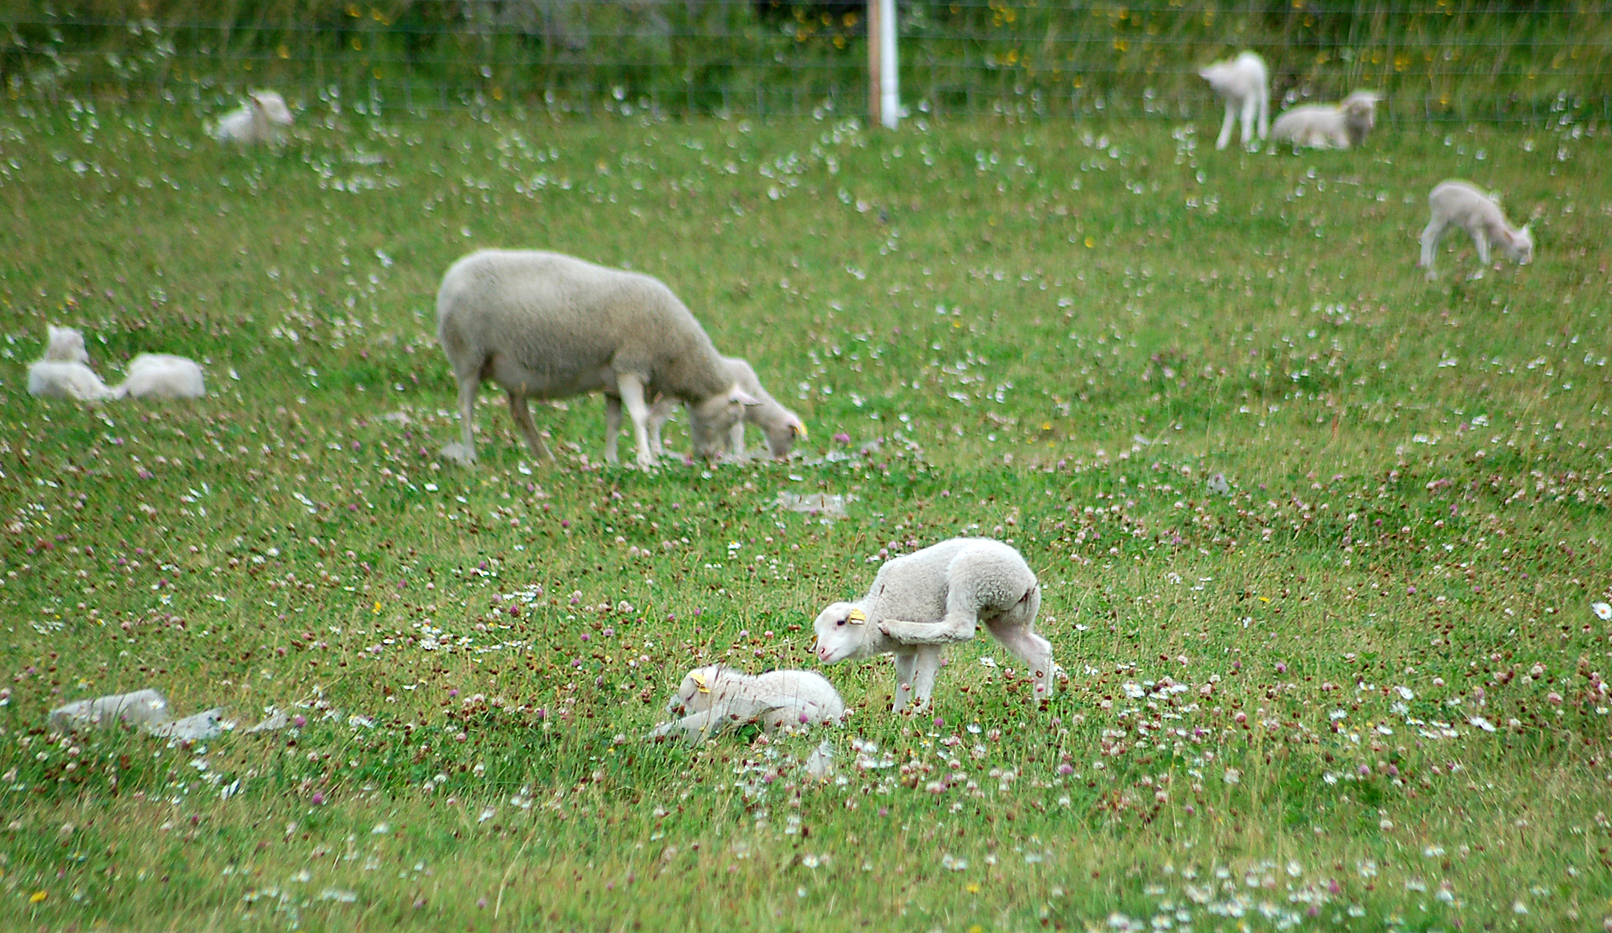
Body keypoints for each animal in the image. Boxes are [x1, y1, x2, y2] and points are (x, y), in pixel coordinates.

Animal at [428, 249, 754, 470]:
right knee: (466, 408)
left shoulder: (613, 382)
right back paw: (471, 456)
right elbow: (640, 417)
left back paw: (545, 457)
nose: (709, 458)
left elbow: (614, 422)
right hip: (468, 356)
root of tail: (451, 276)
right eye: (731, 418)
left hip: (511, 371)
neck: (677, 352)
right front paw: (646, 461)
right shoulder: (629, 366)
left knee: (519, 413)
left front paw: (611, 460)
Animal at [631, 354, 802, 464]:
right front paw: (735, 459)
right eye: (792, 435)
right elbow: (736, 439)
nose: (782, 457)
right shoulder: (735, 414)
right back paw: (657, 453)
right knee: (654, 421)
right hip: (667, 398)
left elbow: (728, 440)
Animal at [812, 538, 1051, 712]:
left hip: (971, 576)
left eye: (841, 622)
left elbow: (924, 677)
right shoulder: (904, 651)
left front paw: (917, 713)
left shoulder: (928, 641)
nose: (821, 651)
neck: (883, 604)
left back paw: (896, 626)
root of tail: (1027, 580)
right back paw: (1043, 701)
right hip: (1005, 617)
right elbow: (903, 679)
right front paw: (898, 712)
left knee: (959, 627)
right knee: (1038, 650)